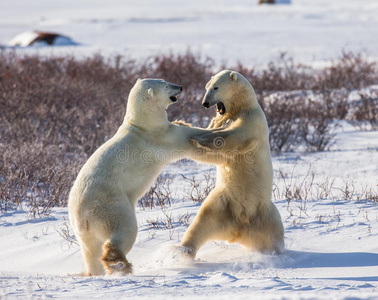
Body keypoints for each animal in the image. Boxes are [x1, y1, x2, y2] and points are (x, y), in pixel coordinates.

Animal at [68, 78, 213, 276]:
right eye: (166, 84)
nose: (180, 87)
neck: (142, 124)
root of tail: (81, 217)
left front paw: (183, 121)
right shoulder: (159, 137)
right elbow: (184, 141)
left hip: (83, 231)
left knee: (90, 249)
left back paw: (94, 272)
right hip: (111, 205)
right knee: (124, 230)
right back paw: (120, 263)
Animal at [180, 69, 284, 258]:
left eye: (216, 87)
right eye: (206, 87)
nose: (205, 103)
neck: (240, 107)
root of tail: (240, 228)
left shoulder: (252, 120)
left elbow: (234, 135)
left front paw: (199, 137)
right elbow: (214, 155)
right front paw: (183, 125)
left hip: (264, 211)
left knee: (274, 233)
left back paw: (277, 252)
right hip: (223, 202)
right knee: (203, 221)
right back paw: (182, 251)